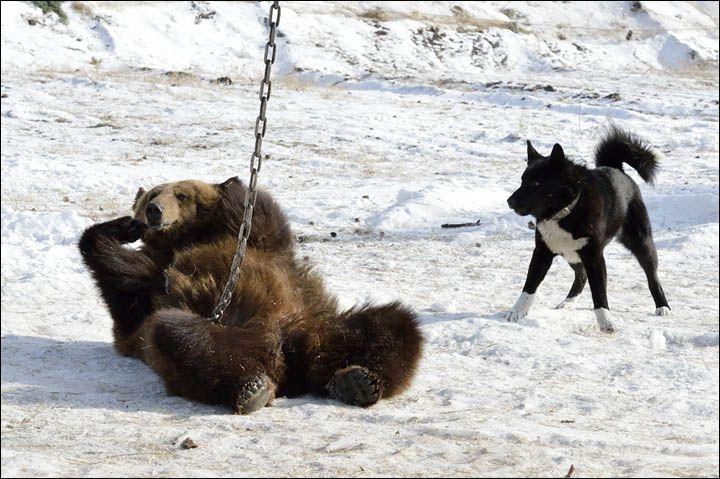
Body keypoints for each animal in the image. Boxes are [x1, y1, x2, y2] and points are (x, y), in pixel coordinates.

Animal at [80, 178, 422, 414]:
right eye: (152, 195)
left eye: (181, 195)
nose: (154, 211)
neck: (187, 239)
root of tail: (287, 367)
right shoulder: (150, 282)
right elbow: (122, 283)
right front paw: (120, 227)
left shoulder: (263, 244)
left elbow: (257, 213)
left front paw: (230, 188)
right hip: (226, 332)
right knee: (181, 336)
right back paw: (252, 388)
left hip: (315, 327)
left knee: (392, 326)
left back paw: (360, 381)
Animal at [506, 127, 668, 334]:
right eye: (522, 180)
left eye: (536, 184)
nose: (509, 201)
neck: (565, 212)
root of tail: (617, 169)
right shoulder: (542, 253)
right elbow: (529, 285)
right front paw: (517, 311)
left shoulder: (594, 257)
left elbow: (599, 293)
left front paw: (606, 321)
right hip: (572, 255)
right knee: (581, 276)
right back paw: (568, 302)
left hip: (641, 242)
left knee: (652, 277)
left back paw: (662, 306)